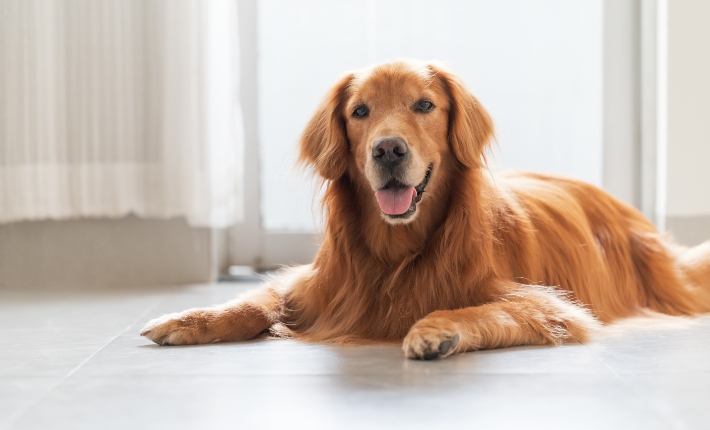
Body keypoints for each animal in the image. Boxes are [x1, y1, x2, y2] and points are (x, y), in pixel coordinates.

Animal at [140, 58, 710, 358]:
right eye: (360, 112)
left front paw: (435, 329)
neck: (398, 250)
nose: (388, 149)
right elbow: (255, 301)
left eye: (424, 105)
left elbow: (483, 307)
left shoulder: (553, 306)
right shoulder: (315, 283)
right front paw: (191, 317)